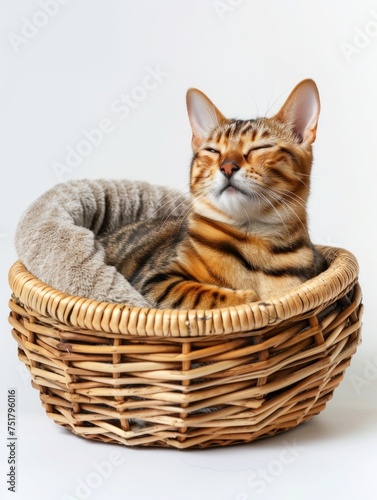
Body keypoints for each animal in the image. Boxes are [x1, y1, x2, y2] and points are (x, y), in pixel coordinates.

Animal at [100, 79, 326, 308]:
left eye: (260, 148)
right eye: (213, 151)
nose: (227, 166)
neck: (254, 242)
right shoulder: (154, 280)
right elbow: (201, 293)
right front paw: (247, 298)